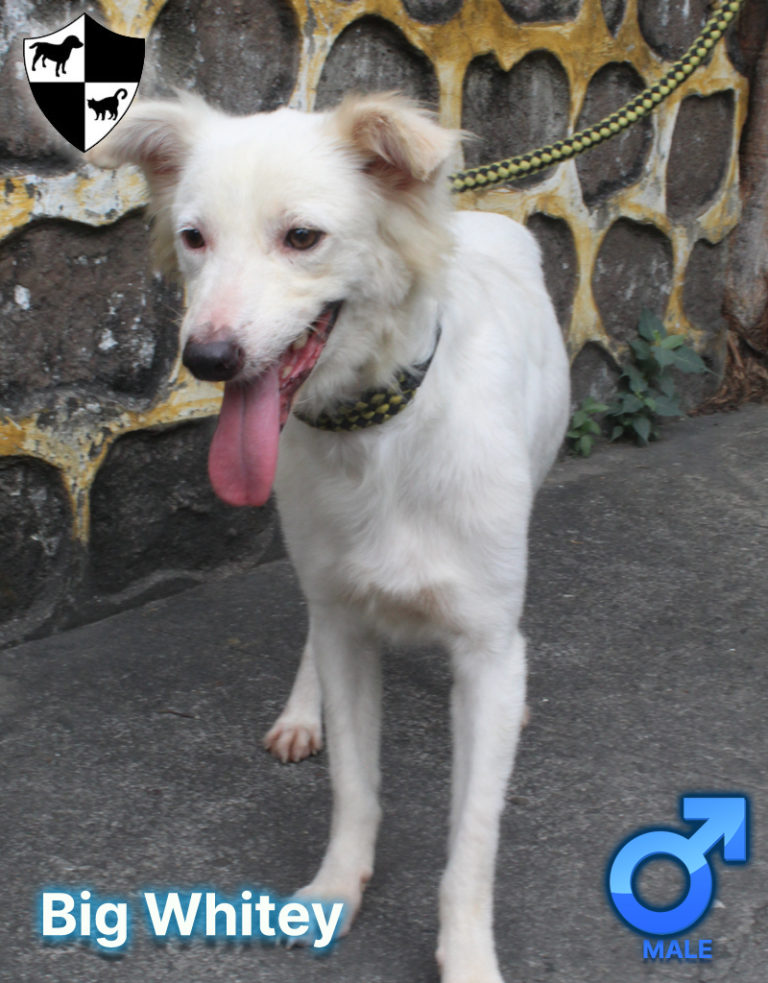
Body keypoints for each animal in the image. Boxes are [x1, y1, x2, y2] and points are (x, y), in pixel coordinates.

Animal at [91, 92, 568, 983]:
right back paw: (299, 713)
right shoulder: (346, 622)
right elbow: (354, 783)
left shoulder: (484, 645)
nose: (207, 357)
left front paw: (467, 954)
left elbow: (473, 838)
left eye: (302, 237)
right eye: (194, 237)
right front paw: (335, 891)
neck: (378, 432)